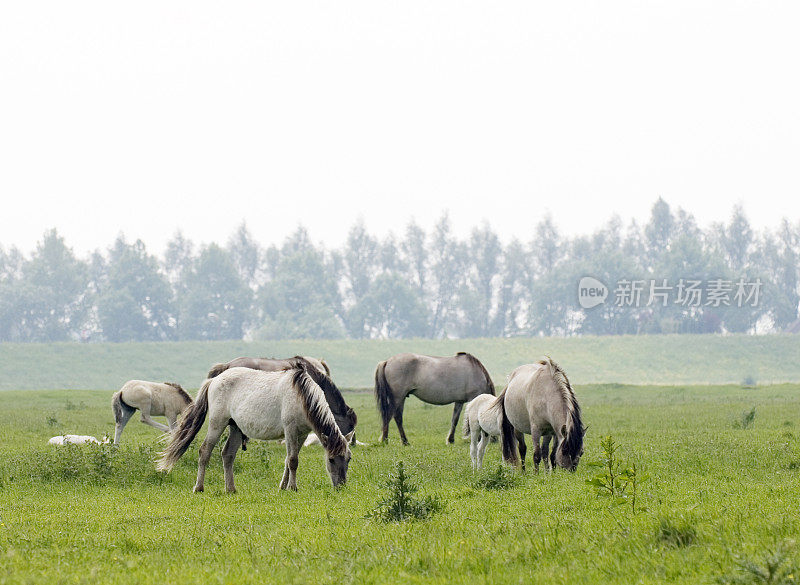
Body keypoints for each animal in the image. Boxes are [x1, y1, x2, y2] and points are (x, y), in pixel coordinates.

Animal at [158, 358, 354, 490]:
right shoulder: (290, 430)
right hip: (217, 424)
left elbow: (288, 460)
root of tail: (214, 380)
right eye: (331, 459)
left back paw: (231, 489)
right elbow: (293, 460)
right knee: (205, 451)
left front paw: (283, 487)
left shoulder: (302, 434)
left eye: (348, 458)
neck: (301, 395)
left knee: (227, 454)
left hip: (235, 428)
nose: (341, 486)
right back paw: (199, 487)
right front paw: (292, 488)